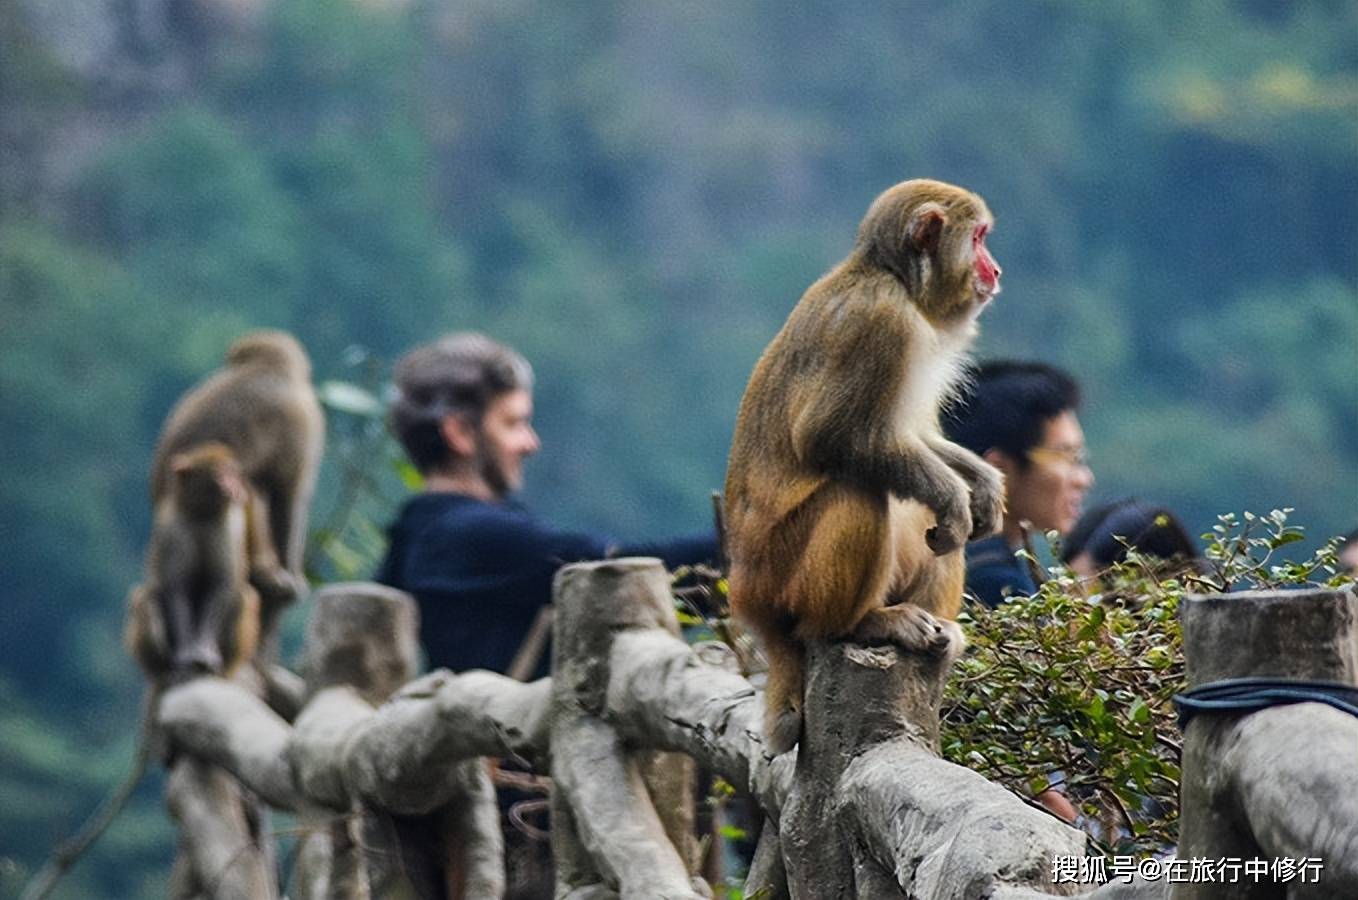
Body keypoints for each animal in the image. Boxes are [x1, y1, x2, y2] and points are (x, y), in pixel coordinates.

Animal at [126, 439, 260, 678]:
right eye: (221, 474)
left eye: (233, 473)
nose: (236, 488)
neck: (202, 513)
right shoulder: (173, 530)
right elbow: (177, 588)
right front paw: (187, 653)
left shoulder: (230, 527)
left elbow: (220, 585)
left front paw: (204, 651)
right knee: (146, 597)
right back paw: (164, 667)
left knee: (243, 597)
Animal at [149, 331, 325, 648]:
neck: (266, 367)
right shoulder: (304, 422)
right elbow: (288, 498)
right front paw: (293, 578)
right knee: (250, 490)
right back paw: (266, 574)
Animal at [722, 177, 1010, 754]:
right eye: (978, 239)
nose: (995, 269)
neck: (894, 280)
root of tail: (747, 593)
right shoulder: (881, 323)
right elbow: (834, 437)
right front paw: (955, 497)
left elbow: (915, 437)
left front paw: (983, 485)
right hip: (783, 576)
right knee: (859, 491)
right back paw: (857, 626)